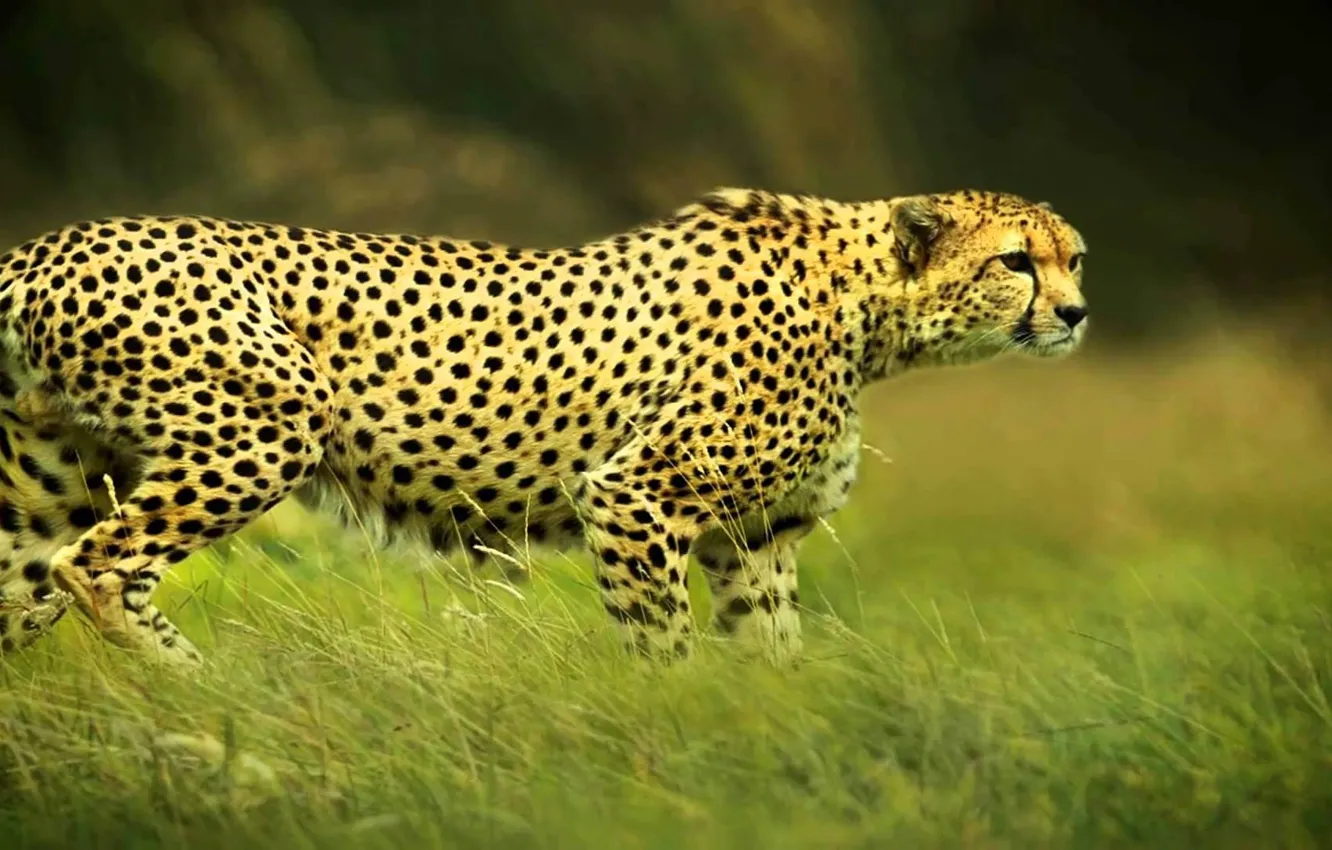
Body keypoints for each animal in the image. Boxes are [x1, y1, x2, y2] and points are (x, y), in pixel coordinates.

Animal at [0, 187, 1088, 668]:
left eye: (1073, 255)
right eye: (1016, 261)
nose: (1077, 313)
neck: (867, 307)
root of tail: (49, 239)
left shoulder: (756, 538)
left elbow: (770, 656)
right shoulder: (640, 496)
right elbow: (664, 643)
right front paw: (672, 728)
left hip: (54, 481)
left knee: (27, 585)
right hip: (264, 429)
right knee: (99, 568)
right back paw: (204, 693)